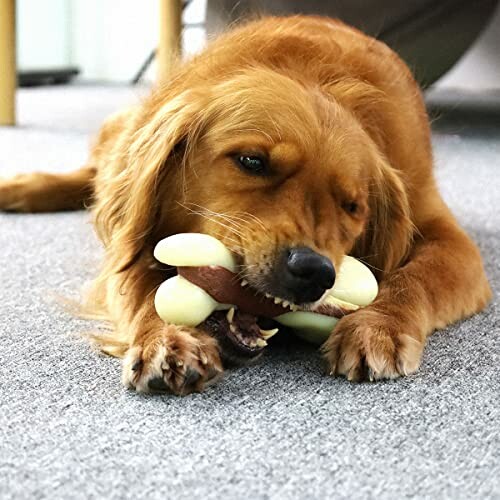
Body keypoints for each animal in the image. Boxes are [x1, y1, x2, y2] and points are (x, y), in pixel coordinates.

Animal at [0, 15, 492, 394]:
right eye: (252, 161)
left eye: (353, 206)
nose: (315, 271)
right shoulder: (129, 241)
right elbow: (139, 286)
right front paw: (167, 337)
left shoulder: (448, 238)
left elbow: (416, 279)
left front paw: (379, 325)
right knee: (96, 178)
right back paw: (22, 188)